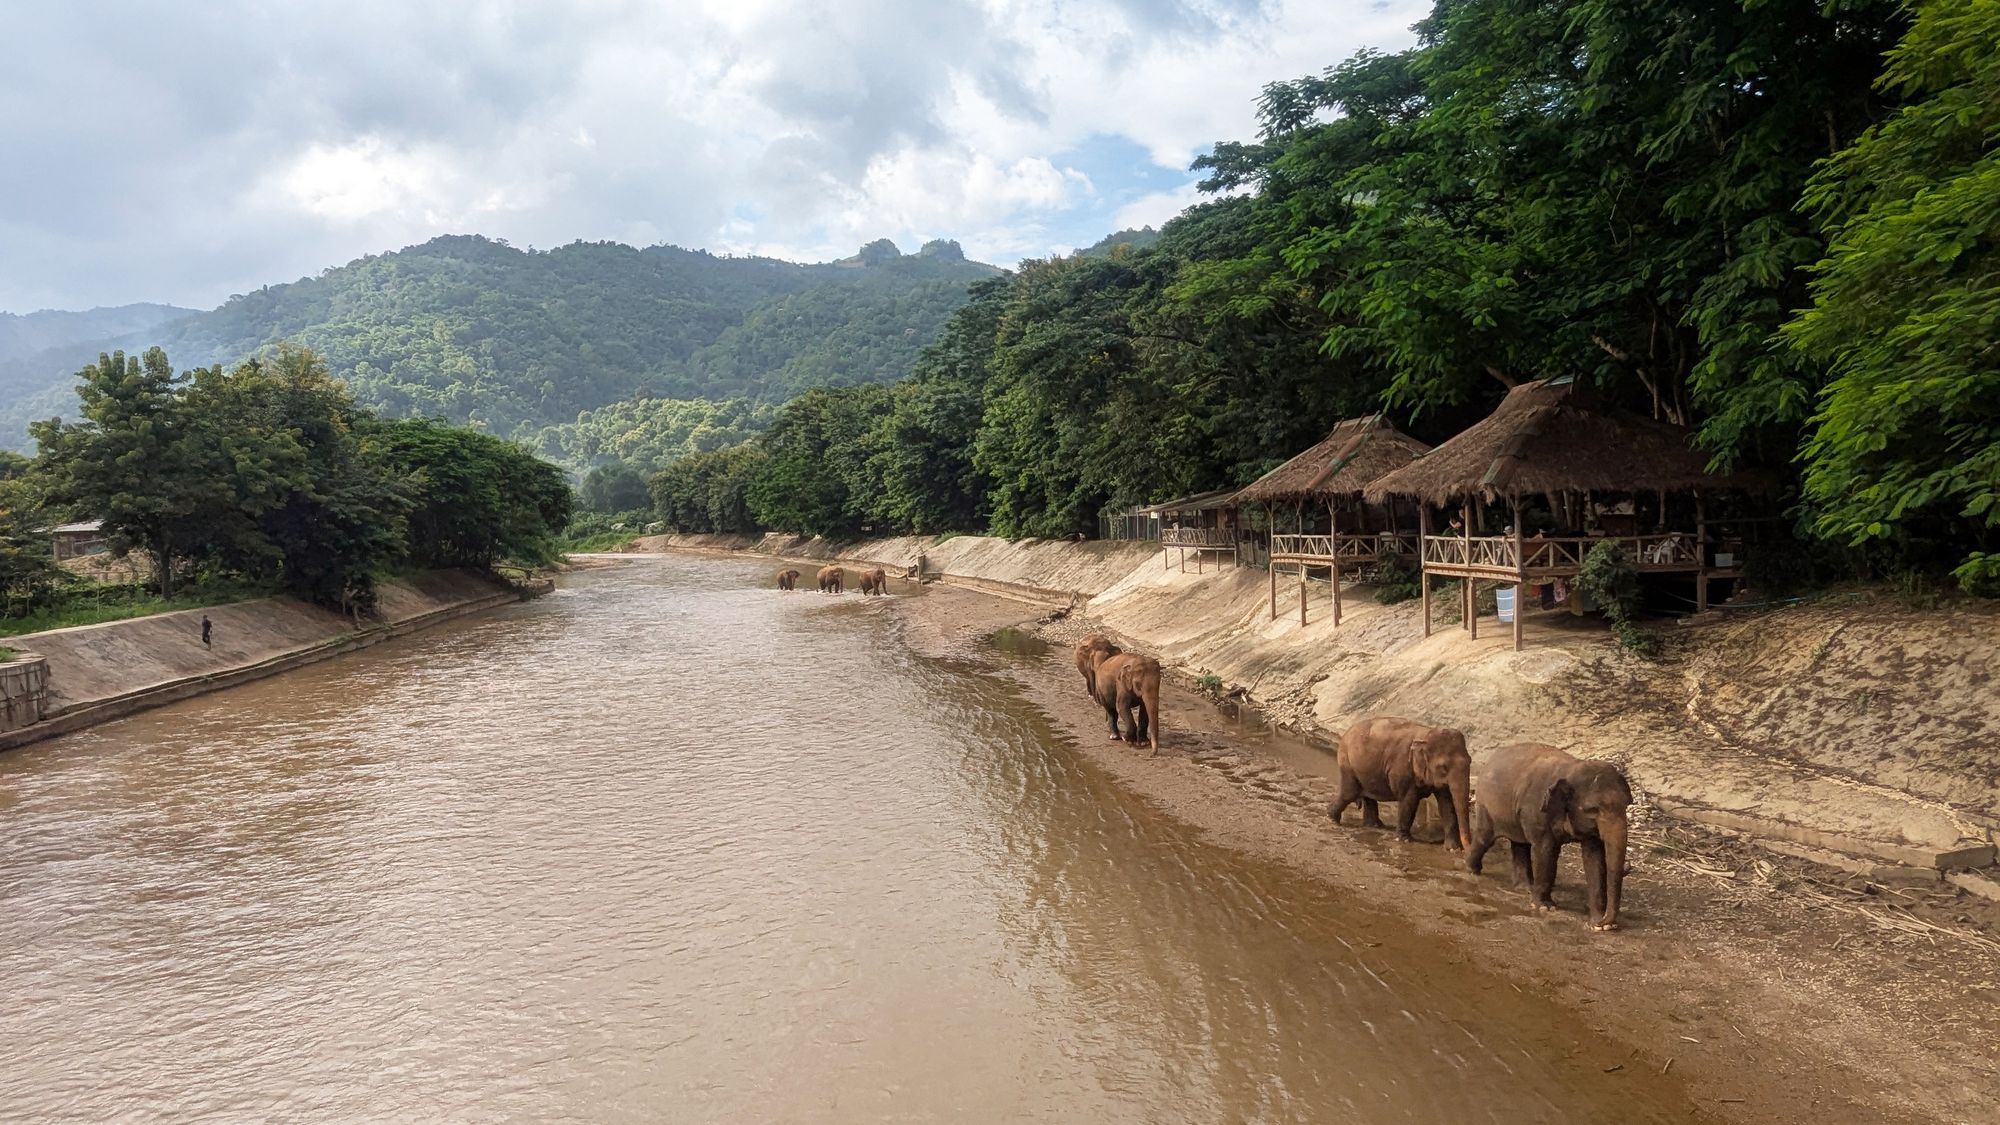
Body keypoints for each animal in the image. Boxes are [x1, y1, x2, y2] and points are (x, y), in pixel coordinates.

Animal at [1327, 717, 1472, 850]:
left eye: (1470, 760)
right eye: (1443, 767)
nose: (1467, 848)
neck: (1425, 734)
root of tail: (1347, 732)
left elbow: (1446, 804)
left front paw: (1453, 849)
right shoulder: (1403, 770)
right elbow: (1409, 801)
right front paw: (1404, 840)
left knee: (1367, 796)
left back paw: (1375, 825)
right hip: (1347, 762)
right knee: (1350, 792)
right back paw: (1332, 818)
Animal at [1466, 743, 1633, 931]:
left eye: (1626, 805)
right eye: (1592, 810)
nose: (1605, 922)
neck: (1573, 768)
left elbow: (1594, 859)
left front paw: (1598, 925)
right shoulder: (1537, 811)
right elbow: (1546, 850)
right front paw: (1545, 907)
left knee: (1520, 844)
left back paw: (1525, 887)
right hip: (1486, 803)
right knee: (1485, 837)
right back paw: (1473, 870)